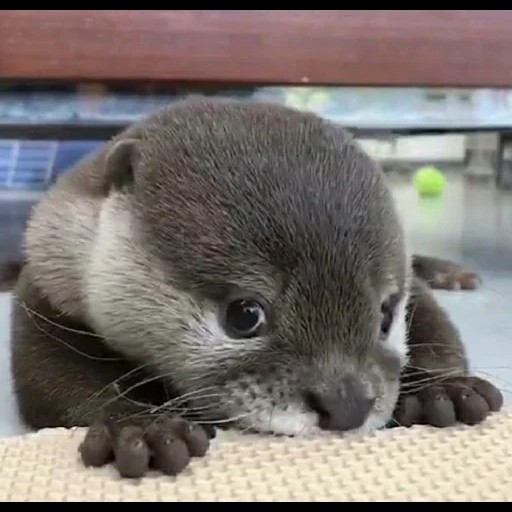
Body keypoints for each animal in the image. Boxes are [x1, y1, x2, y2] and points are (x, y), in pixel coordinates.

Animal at [10, 98, 502, 478]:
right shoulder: (46, 287)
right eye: (244, 315)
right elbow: (56, 381)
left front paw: (445, 390)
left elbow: (435, 325)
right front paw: (140, 427)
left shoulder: (411, 286)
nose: (346, 404)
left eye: (385, 315)